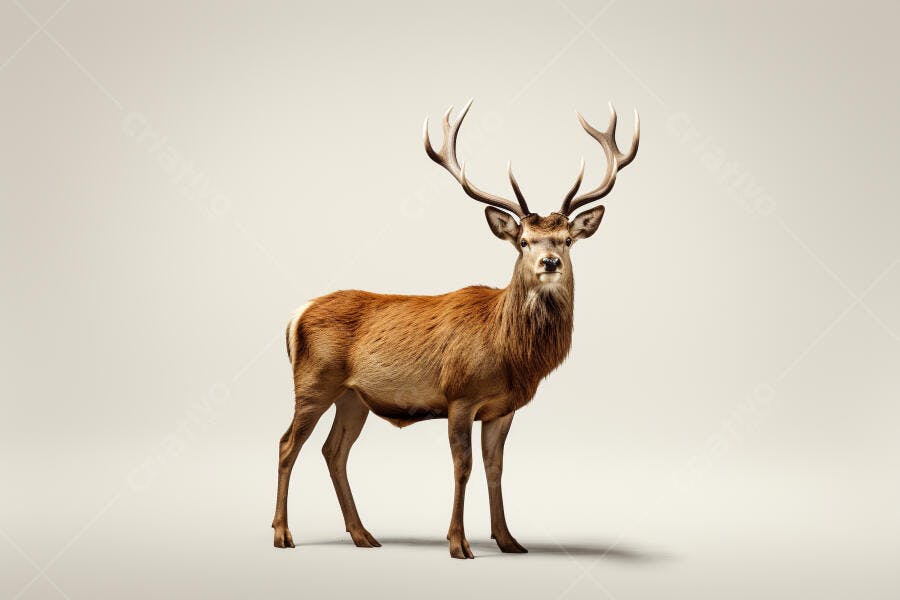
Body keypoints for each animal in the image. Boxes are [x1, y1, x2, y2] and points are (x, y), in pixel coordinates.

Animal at [272, 100, 639, 558]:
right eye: (523, 241)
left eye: (567, 240)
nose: (549, 262)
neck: (510, 352)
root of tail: (296, 315)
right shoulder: (459, 395)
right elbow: (462, 466)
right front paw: (459, 543)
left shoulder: (502, 409)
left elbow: (495, 467)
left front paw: (508, 540)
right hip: (314, 382)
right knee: (288, 444)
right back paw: (283, 534)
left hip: (353, 396)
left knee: (333, 451)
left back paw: (362, 535)